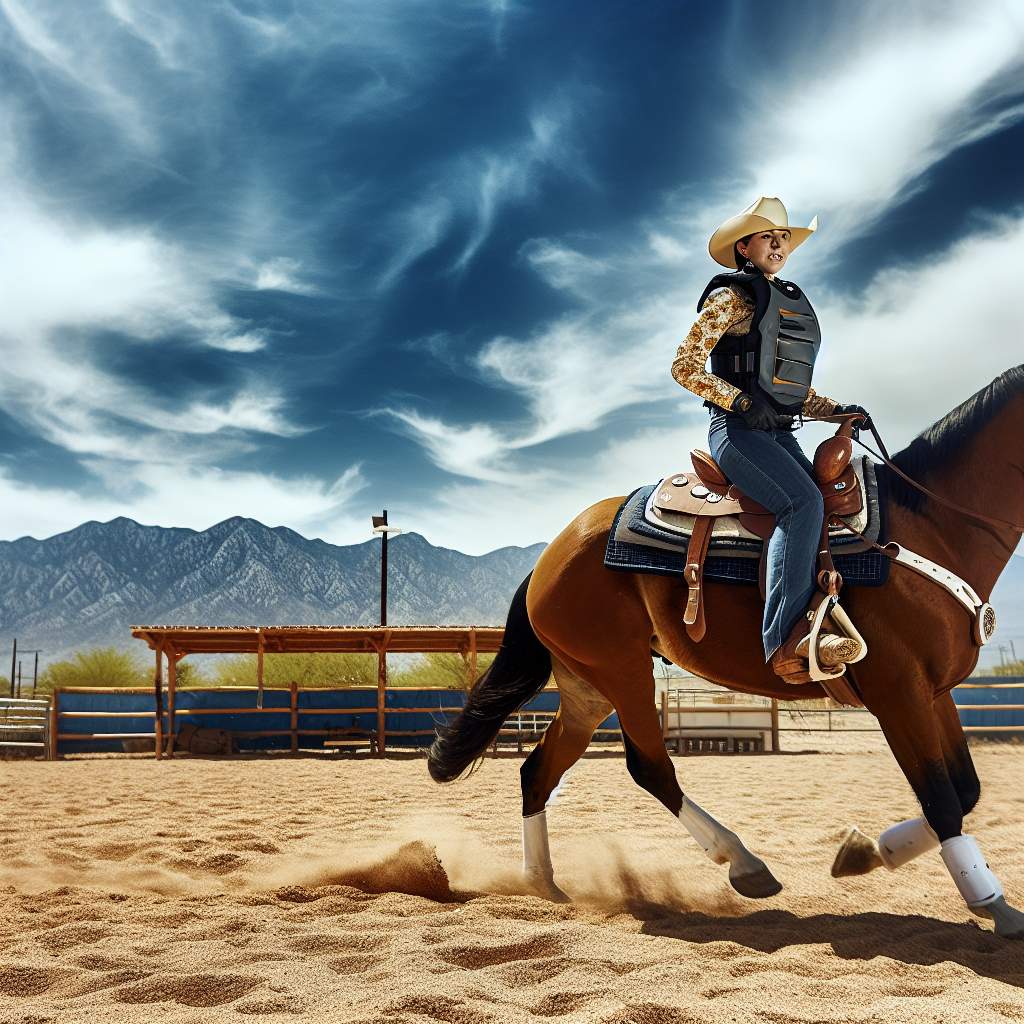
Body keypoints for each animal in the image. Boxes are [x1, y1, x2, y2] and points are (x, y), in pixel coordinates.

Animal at [425, 364, 1024, 937]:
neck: (932, 528)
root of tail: (548, 557)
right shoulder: (898, 692)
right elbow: (943, 799)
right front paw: (992, 903)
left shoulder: (935, 692)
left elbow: (965, 790)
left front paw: (868, 852)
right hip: (621, 671)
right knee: (650, 768)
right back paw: (744, 863)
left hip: (584, 688)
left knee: (538, 772)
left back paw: (541, 885)